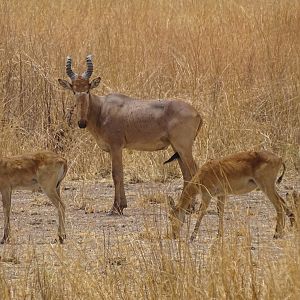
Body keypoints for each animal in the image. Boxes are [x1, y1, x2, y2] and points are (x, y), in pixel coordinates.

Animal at [58, 55, 202, 216]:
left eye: (87, 90)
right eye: (74, 91)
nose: (81, 122)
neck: (102, 108)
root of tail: (196, 113)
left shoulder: (116, 147)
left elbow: (116, 174)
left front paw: (115, 208)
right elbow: (119, 174)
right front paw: (121, 206)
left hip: (183, 147)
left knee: (193, 171)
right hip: (178, 148)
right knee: (187, 174)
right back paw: (186, 207)